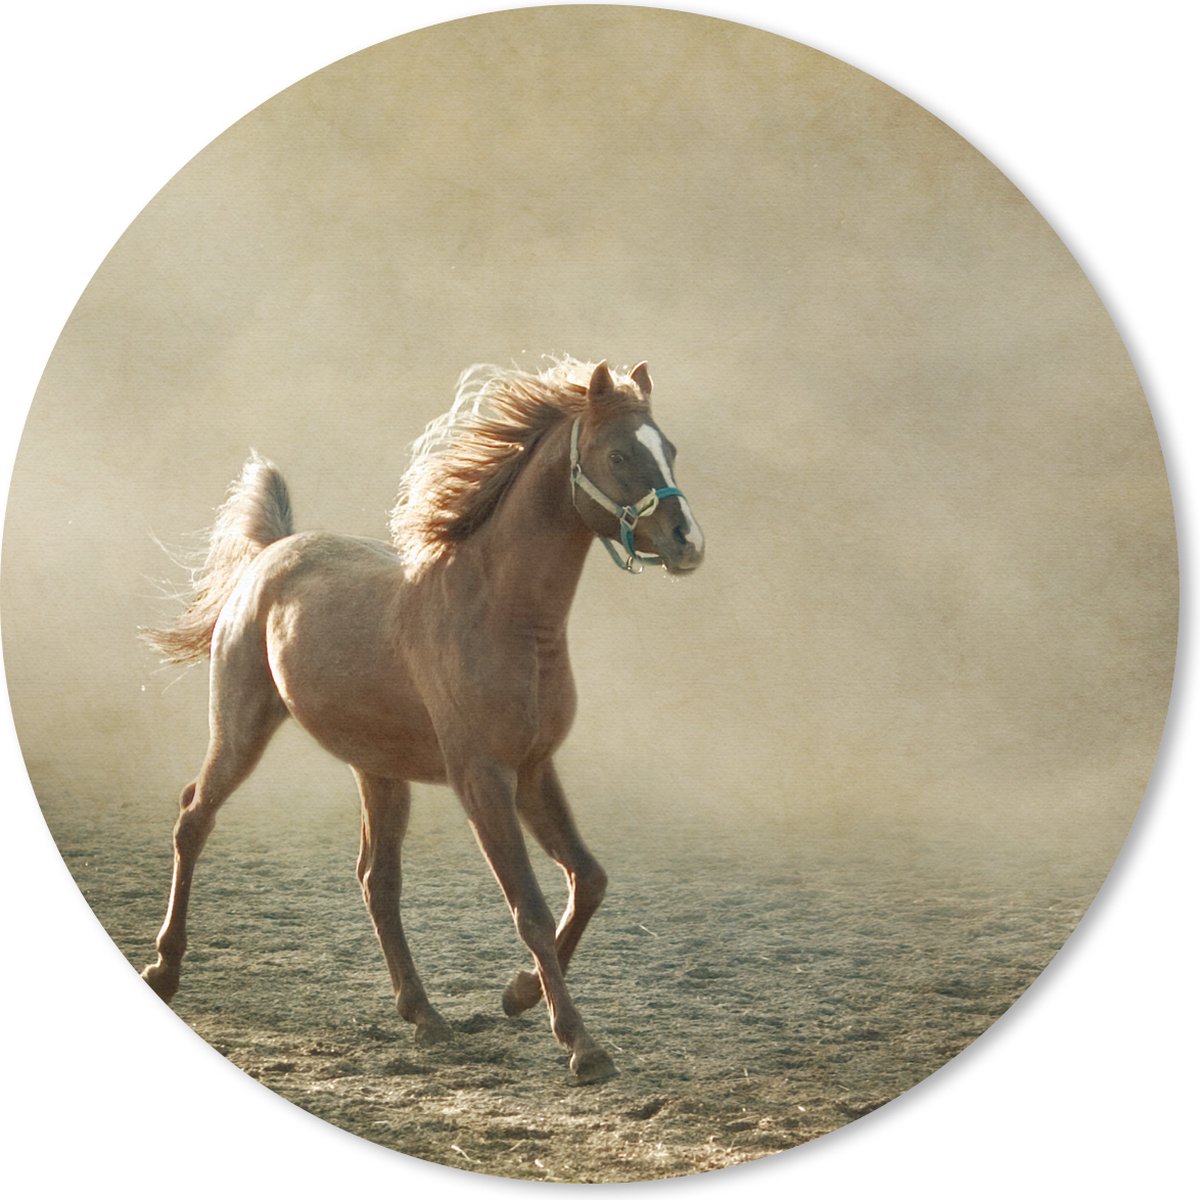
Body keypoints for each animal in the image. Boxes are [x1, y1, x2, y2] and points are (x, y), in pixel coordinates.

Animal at [139, 358, 704, 1084]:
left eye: (670, 449)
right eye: (619, 454)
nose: (688, 543)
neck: (503, 616)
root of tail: (273, 552)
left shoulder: (532, 770)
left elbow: (590, 880)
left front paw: (517, 995)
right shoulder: (482, 780)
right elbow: (531, 909)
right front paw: (582, 1045)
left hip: (377, 770)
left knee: (376, 881)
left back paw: (425, 1015)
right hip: (241, 727)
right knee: (194, 818)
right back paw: (164, 968)